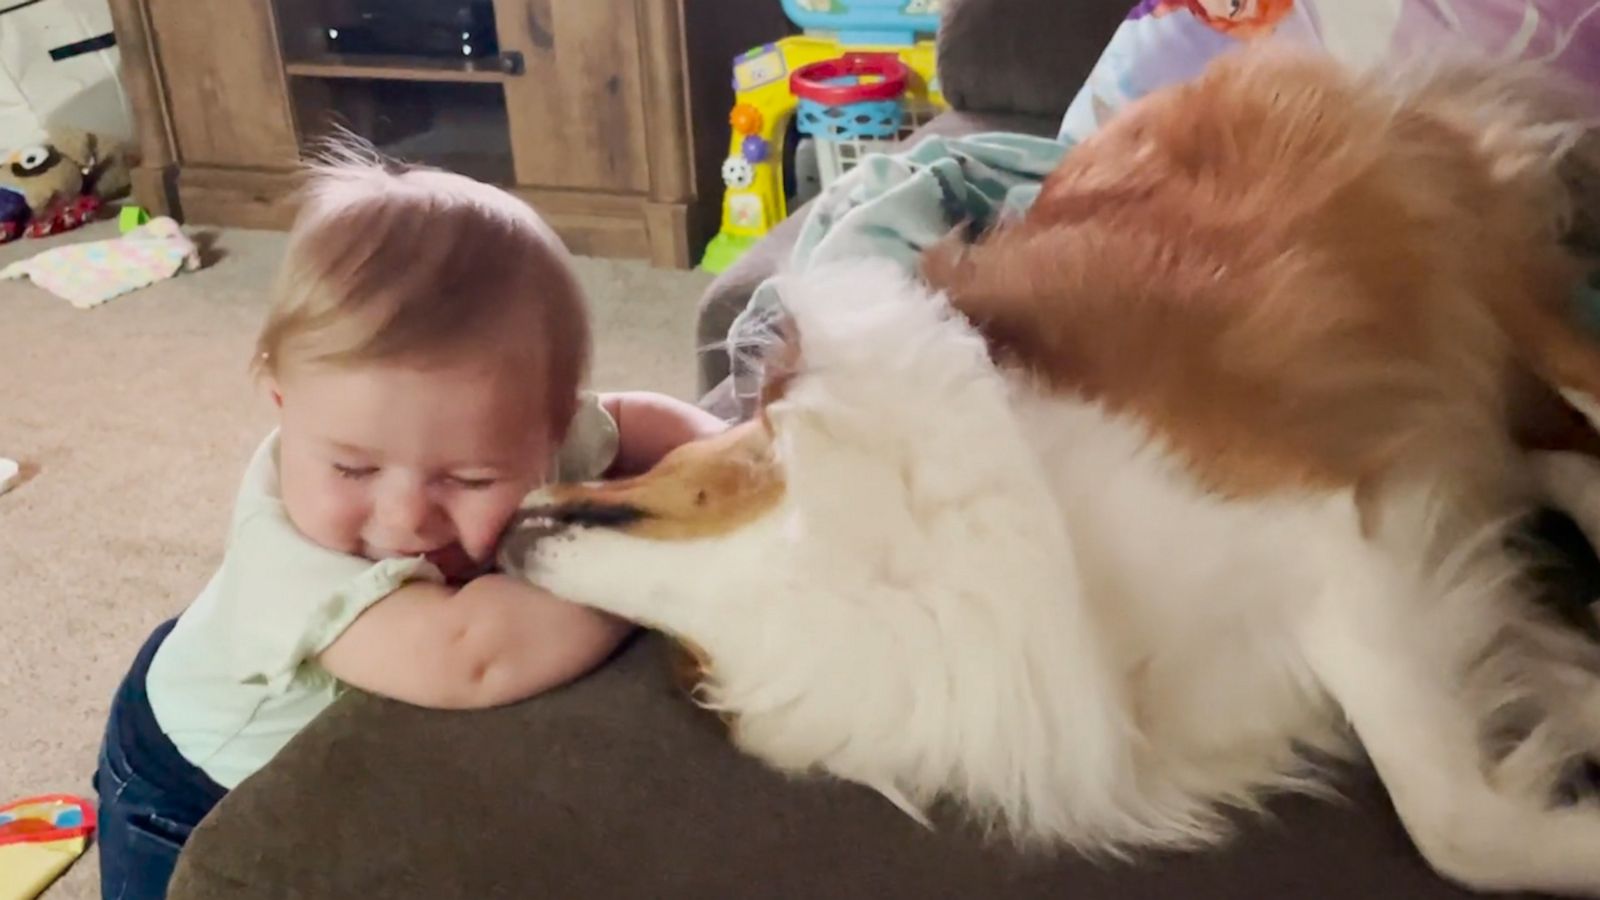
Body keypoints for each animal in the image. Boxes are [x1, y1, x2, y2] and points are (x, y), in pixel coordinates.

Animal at [505, 50, 1600, 896]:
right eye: (682, 660)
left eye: (654, 464)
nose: (508, 518)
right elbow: (1508, 734)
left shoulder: (1337, 545)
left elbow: (1453, 824)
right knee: (1540, 460)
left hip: (1487, 285)